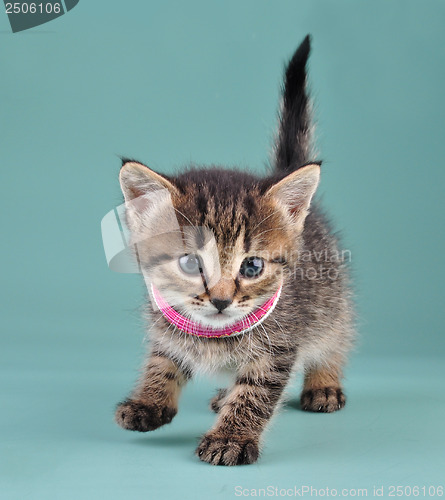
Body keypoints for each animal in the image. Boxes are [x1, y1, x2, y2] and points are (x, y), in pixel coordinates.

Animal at [113, 35, 354, 464]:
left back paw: (323, 382)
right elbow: (162, 359)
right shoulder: (165, 323)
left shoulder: (279, 347)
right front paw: (149, 399)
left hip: (331, 298)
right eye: (190, 263)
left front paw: (232, 437)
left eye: (252, 266)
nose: (222, 301)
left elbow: (255, 393)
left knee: (335, 334)